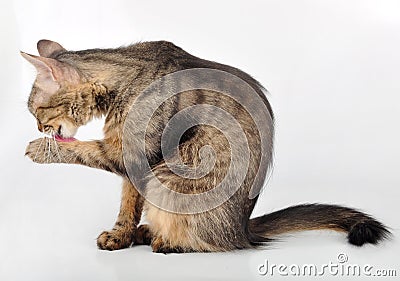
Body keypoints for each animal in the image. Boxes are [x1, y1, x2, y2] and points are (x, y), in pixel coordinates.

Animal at [20, 39, 390, 252]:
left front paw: (41, 149)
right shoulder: (133, 166)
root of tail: (242, 230)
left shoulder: (130, 153)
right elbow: (127, 205)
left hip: (168, 180)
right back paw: (145, 232)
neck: (124, 78)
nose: (39, 126)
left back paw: (165, 242)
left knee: (209, 243)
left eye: (37, 110)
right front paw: (121, 234)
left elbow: (85, 150)